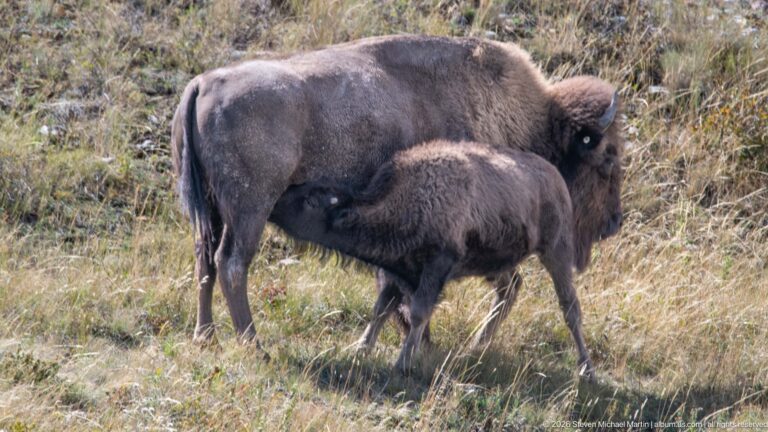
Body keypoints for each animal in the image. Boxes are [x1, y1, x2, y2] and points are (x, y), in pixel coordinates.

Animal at [171, 35, 624, 348]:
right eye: (606, 157)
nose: (613, 223)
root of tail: (204, 84)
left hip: (209, 210)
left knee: (204, 261)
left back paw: (205, 336)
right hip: (250, 207)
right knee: (231, 263)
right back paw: (254, 343)